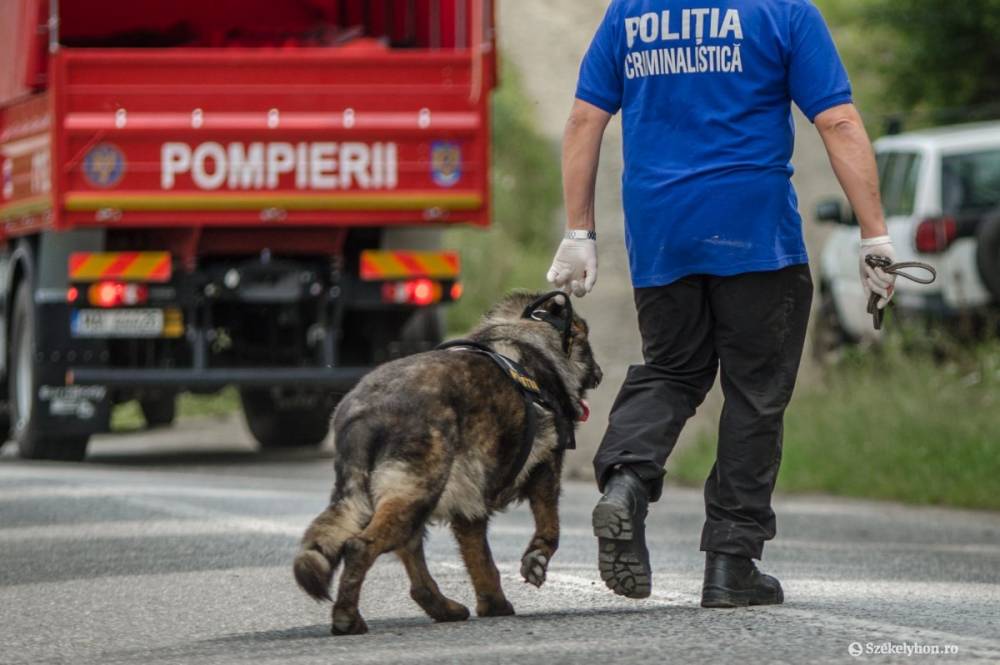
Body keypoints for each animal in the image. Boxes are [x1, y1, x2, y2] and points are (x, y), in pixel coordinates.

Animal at [290, 290, 600, 632]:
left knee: (412, 566)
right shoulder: (545, 470)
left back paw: (443, 608)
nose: (600, 375)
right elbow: (550, 526)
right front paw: (535, 561)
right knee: (361, 547)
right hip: (417, 491)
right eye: (587, 344)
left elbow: (481, 560)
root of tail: (364, 412)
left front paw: (493, 604)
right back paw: (348, 617)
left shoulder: (470, 506)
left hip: (394, 497)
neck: (524, 335)